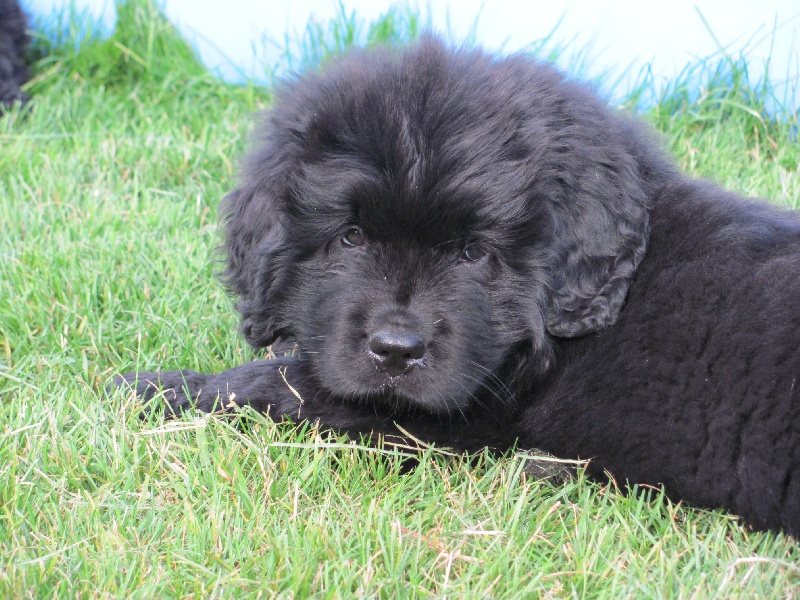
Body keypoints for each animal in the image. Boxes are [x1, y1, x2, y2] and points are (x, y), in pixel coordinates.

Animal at [119, 37, 800, 536]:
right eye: (351, 237)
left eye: (475, 252)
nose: (396, 351)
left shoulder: (456, 421)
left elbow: (282, 383)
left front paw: (156, 388)